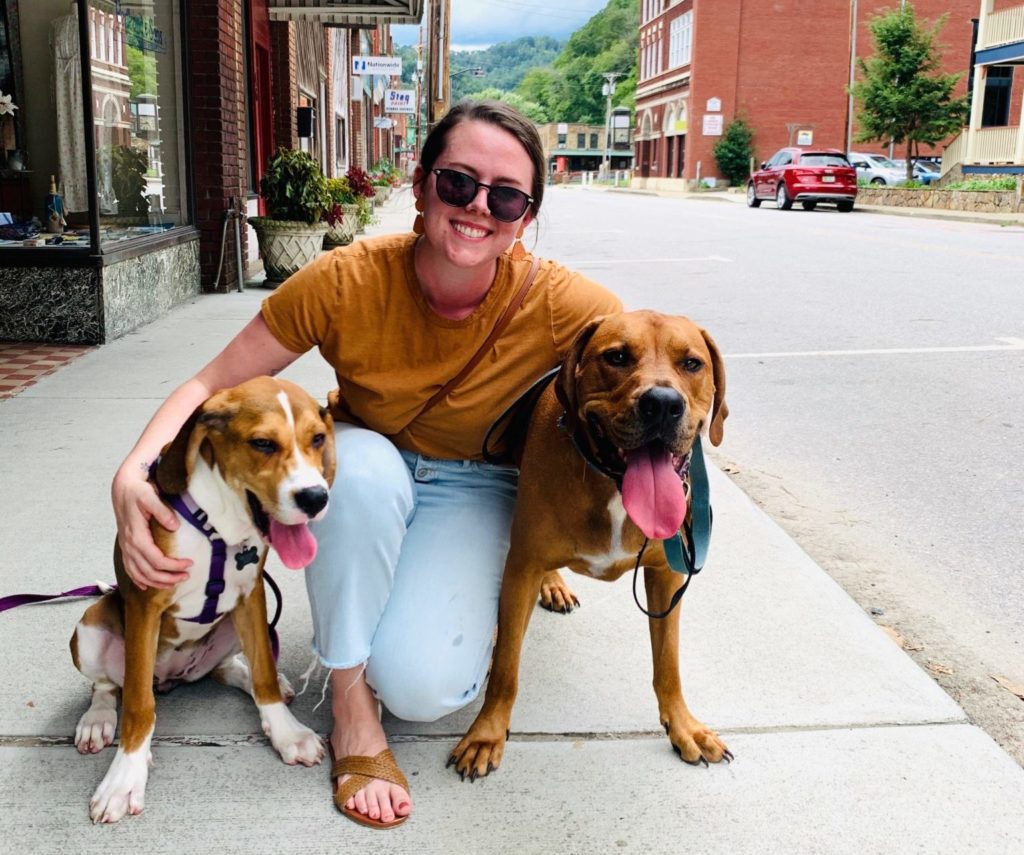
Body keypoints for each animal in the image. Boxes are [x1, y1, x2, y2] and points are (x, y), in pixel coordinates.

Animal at [67, 378, 335, 827]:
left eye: (317, 438)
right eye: (262, 443)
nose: (316, 498)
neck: (218, 525)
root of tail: (175, 675)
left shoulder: (250, 595)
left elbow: (263, 671)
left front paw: (287, 732)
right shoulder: (146, 603)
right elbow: (138, 704)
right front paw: (124, 778)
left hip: (235, 626)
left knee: (232, 668)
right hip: (90, 626)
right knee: (107, 685)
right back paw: (97, 721)